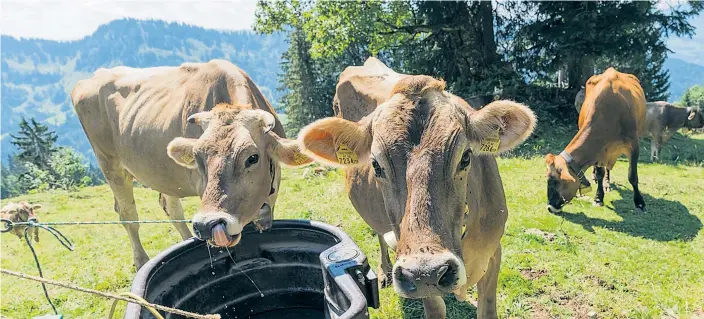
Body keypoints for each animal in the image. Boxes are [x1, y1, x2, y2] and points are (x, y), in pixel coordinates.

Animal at [73, 60, 312, 270]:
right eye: (197, 158)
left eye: (252, 158)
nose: (207, 225)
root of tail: (89, 80)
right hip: (108, 162)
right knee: (128, 215)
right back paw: (141, 260)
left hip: (162, 173)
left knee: (171, 207)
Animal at [548, 68, 648, 215]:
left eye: (555, 181)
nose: (550, 207)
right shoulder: (599, 150)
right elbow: (600, 173)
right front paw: (598, 198)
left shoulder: (634, 145)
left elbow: (633, 176)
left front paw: (639, 203)